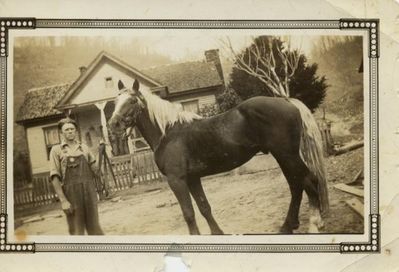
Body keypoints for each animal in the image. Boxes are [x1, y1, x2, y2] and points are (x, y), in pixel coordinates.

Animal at [109, 79, 328, 234]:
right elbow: (204, 207)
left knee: (308, 181)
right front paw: (218, 234)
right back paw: (288, 226)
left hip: (287, 155)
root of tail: (286, 100)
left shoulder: (177, 180)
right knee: (296, 185)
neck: (168, 133)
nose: (113, 124)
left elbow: (188, 214)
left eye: (132, 101)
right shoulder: (192, 179)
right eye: (115, 101)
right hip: (283, 156)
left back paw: (313, 224)